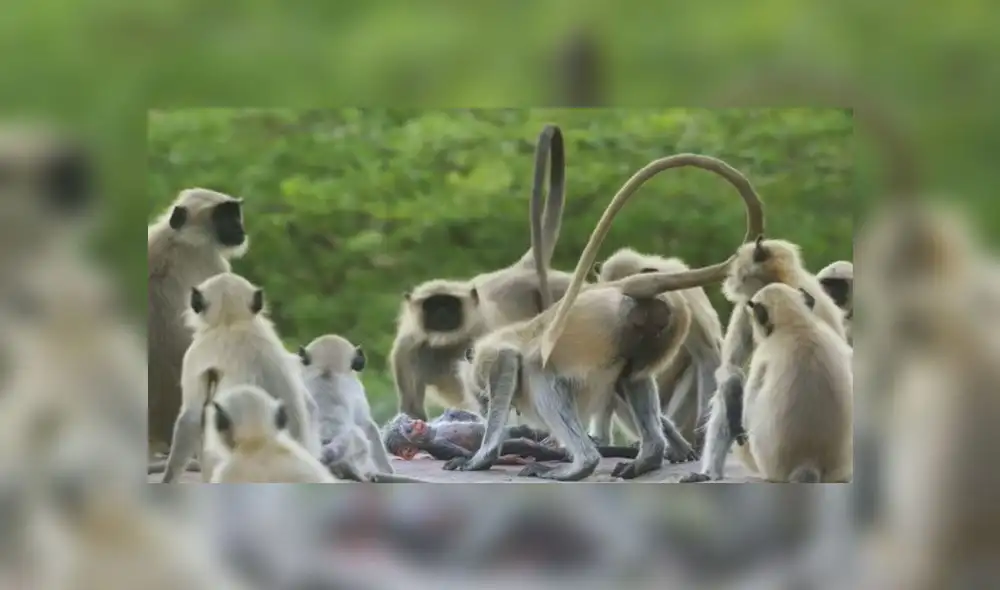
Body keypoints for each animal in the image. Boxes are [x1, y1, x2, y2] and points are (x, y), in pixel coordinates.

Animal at [390, 125, 572, 421]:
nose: (443, 313)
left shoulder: (483, 335)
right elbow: (412, 409)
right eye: (432, 306)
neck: (447, 344)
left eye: (449, 304)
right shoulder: (406, 351)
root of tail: (520, 269)